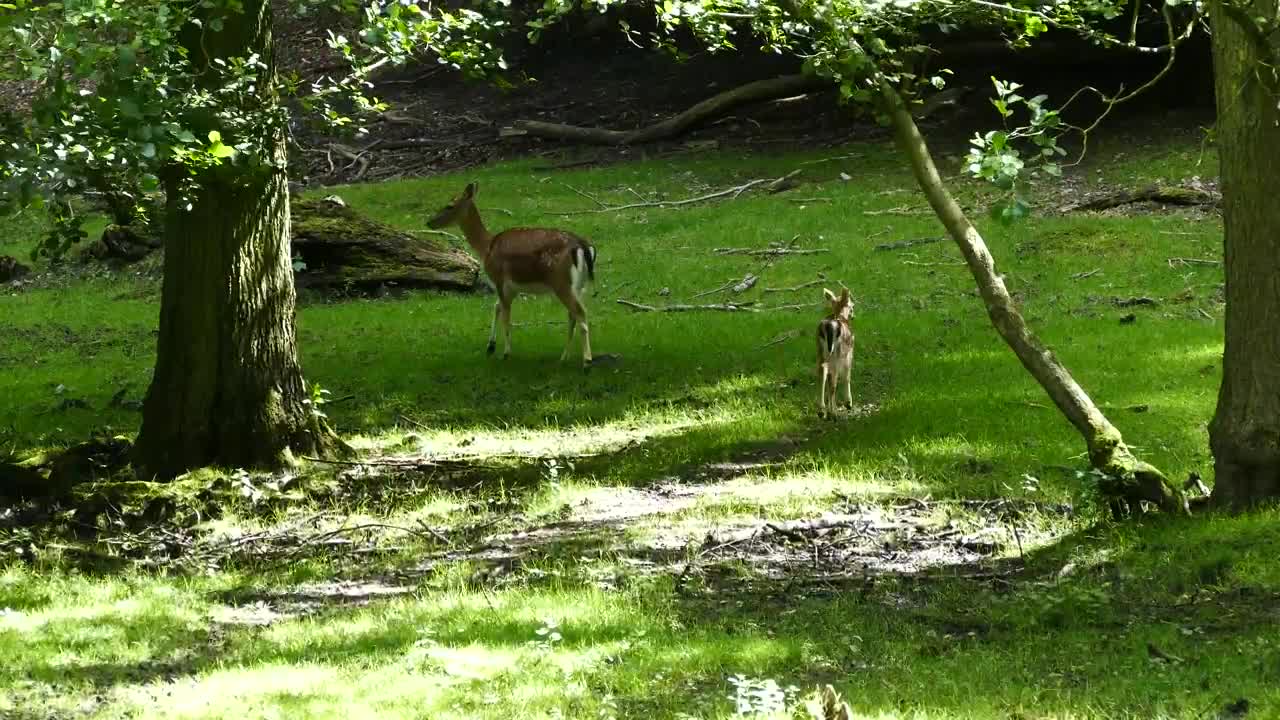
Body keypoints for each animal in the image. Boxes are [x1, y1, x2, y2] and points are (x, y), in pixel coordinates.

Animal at [424, 181, 593, 366]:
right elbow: (497, 307)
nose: (429, 222)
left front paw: (506, 353)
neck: (487, 248)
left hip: (561, 282)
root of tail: (582, 246)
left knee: (580, 312)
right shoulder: (512, 287)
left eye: (450, 205)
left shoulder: (499, 279)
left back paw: (587, 361)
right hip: (579, 285)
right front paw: (490, 347)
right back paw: (564, 357)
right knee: (573, 315)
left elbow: (506, 316)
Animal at [814, 285, 855, 415]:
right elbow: (847, 376)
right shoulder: (849, 354)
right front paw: (849, 403)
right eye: (852, 305)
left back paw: (822, 411)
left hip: (820, 351)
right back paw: (833, 412)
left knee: (822, 373)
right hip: (837, 353)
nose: (853, 316)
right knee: (833, 382)